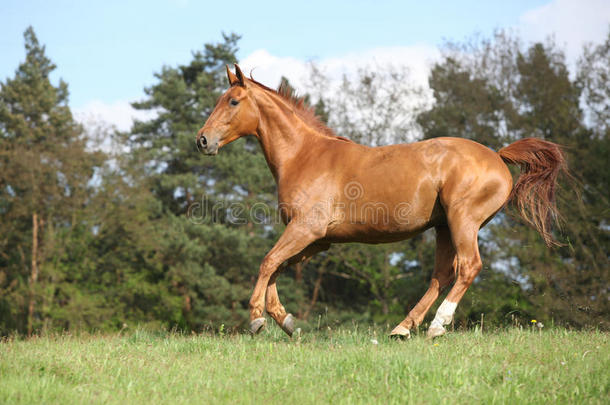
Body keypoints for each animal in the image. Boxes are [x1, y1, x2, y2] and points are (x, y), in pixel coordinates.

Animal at [196, 64, 564, 338]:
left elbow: (268, 261)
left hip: (463, 222)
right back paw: (403, 328)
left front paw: (257, 318)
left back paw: (437, 326)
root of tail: (498, 157)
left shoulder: (306, 230)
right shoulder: (318, 240)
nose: (202, 140)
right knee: (442, 274)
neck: (305, 155)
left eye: (232, 101)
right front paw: (285, 321)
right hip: (444, 227)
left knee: (469, 267)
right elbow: (277, 265)